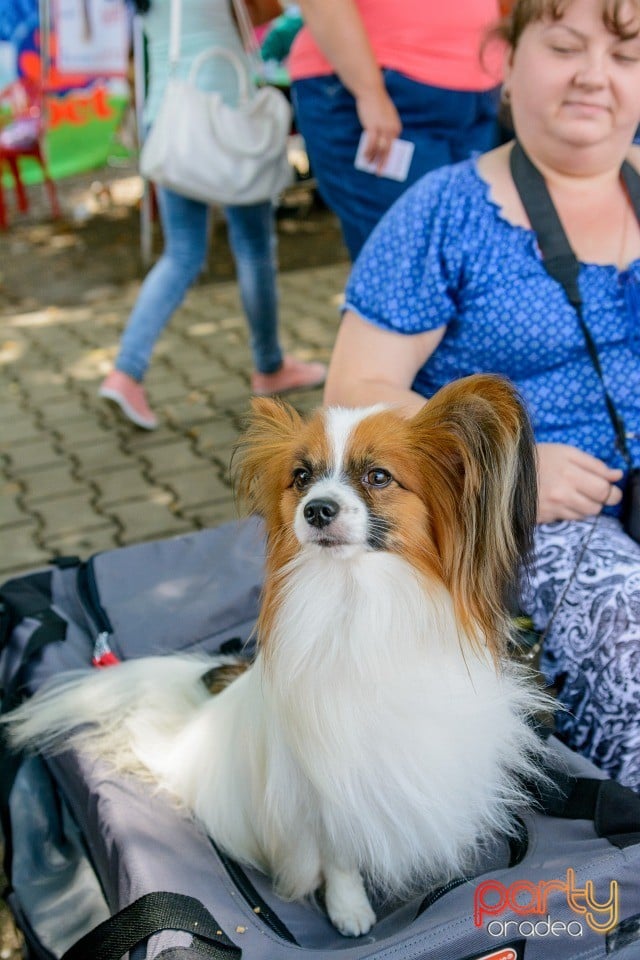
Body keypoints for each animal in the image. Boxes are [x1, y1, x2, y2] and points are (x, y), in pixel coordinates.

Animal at [2, 374, 548, 936]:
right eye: (301, 478)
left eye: (378, 476)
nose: (317, 509)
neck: (357, 597)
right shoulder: (321, 785)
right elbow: (339, 854)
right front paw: (349, 907)